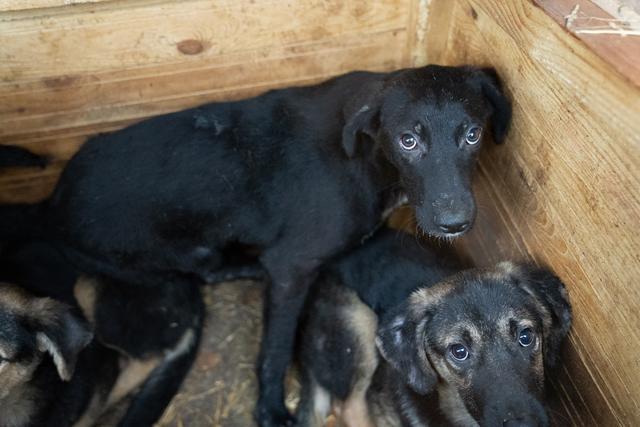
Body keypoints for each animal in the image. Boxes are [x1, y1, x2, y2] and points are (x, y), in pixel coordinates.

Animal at [0, 65, 510, 426]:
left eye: (472, 134)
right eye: (407, 141)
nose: (454, 222)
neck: (368, 156)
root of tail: (51, 204)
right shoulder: (293, 267)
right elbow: (276, 347)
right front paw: (270, 410)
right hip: (169, 253)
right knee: (201, 272)